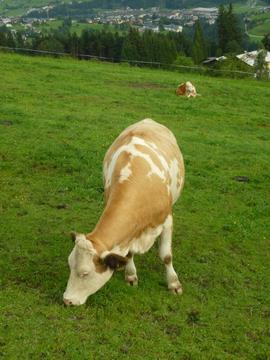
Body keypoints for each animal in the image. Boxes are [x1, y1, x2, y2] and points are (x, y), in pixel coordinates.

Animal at [63, 119, 186, 306]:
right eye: (70, 266)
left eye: (85, 273)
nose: (67, 300)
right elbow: (128, 254)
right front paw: (130, 275)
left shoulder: (167, 220)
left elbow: (166, 256)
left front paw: (173, 284)